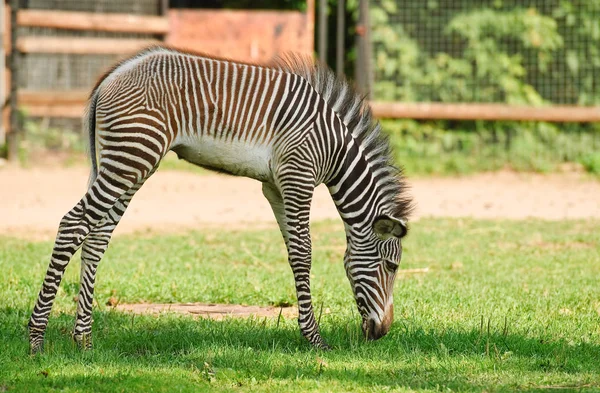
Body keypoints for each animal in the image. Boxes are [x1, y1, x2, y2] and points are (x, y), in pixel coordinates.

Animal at [28, 46, 412, 352]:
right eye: (391, 266)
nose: (382, 333)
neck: (335, 149)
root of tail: (112, 76)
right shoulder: (298, 176)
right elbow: (305, 253)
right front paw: (315, 339)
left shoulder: (275, 187)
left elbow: (293, 253)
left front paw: (307, 332)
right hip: (133, 156)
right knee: (72, 224)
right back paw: (36, 338)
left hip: (129, 163)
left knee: (96, 238)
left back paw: (83, 339)